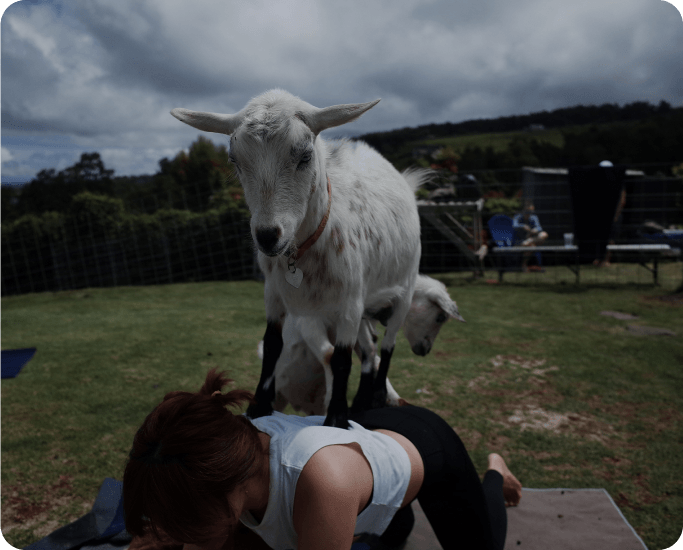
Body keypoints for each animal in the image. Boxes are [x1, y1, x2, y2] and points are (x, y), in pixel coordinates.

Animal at [172, 89, 424, 429]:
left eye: (305, 156)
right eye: (234, 160)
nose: (268, 236)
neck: (301, 254)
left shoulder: (349, 301)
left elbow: (341, 359)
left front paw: (336, 419)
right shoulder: (274, 293)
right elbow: (273, 346)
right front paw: (258, 407)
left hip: (403, 288)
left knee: (387, 345)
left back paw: (376, 398)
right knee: (369, 348)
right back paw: (361, 401)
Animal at [261, 274, 465, 416]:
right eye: (440, 317)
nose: (425, 350)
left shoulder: (358, 331)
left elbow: (374, 358)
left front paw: (393, 399)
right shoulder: (310, 322)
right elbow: (329, 354)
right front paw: (333, 399)